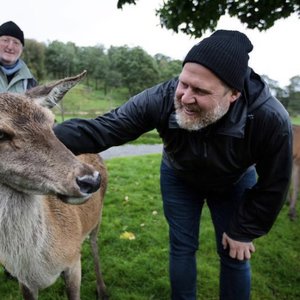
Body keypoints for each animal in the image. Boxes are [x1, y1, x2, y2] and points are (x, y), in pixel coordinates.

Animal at [0, 71, 109, 300]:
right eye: (1, 134)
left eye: (52, 122)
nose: (90, 180)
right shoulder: (23, 281)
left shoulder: (73, 263)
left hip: (98, 216)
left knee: (94, 243)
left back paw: (102, 289)